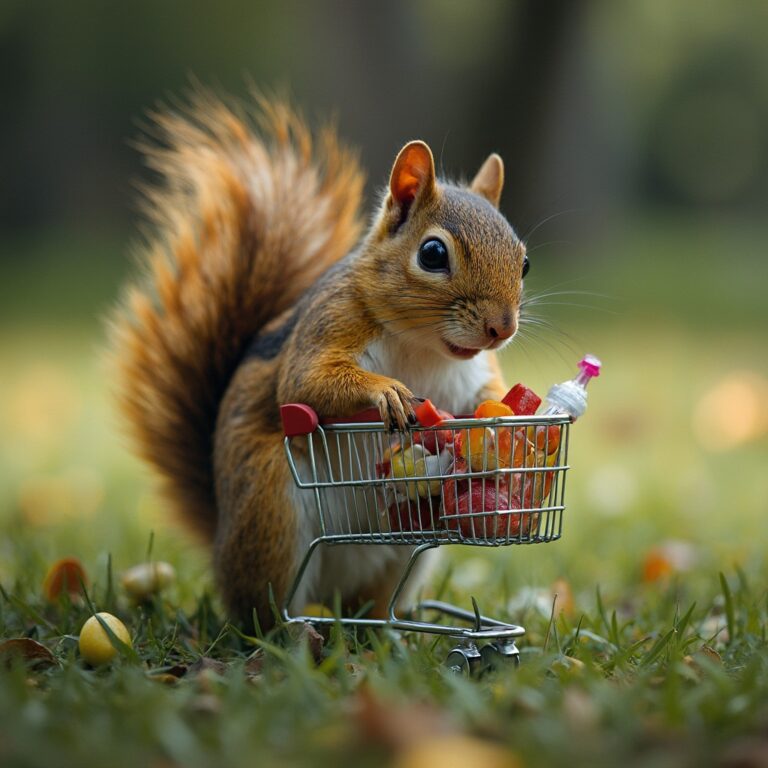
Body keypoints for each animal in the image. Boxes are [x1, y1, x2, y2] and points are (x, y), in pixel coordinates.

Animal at [111, 90, 528, 630]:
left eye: (524, 262)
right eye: (433, 254)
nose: (503, 327)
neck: (424, 347)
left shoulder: (472, 373)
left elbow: (487, 398)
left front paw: (505, 426)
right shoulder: (329, 324)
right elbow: (306, 382)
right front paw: (386, 391)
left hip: (407, 545)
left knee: (376, 604)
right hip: (270, 511)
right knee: (265, 610)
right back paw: (294, 634)